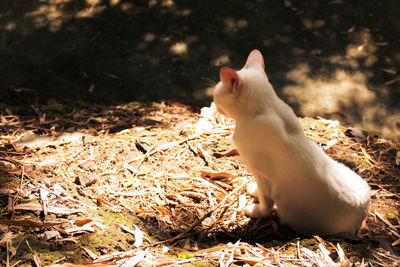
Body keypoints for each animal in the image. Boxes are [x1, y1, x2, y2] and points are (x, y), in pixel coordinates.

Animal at [214, 49, 370, 236]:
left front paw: (255, 210)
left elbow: (266, 203)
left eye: (216, 96)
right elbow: (260, 192)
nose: (214, 103)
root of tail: (362, 216)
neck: (267, 108)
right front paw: (253, 191)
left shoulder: (264, 176)